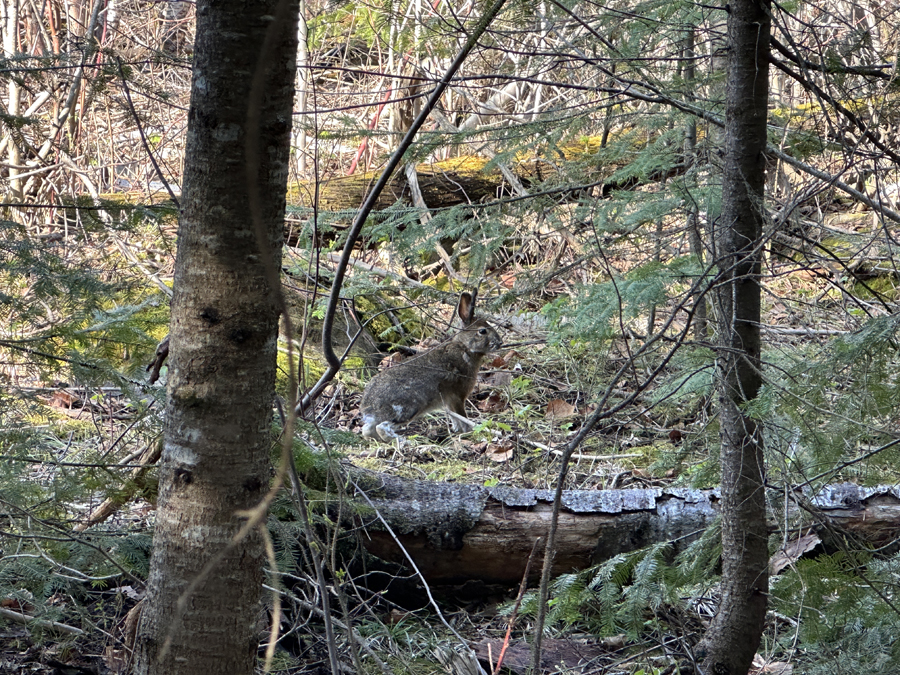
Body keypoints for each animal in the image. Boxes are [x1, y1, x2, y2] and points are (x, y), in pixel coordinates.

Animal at [358, 292, 500, 444]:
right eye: (482, 331)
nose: (500, 342)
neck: (465, 348)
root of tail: (368, 405)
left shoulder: (449, 401)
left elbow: (455, 418)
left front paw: (458, 432)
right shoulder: (457, 396)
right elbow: (462, 416)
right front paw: (468, 432)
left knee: (367, 430)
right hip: (409, 407)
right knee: (382, 427)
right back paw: (404, 441)